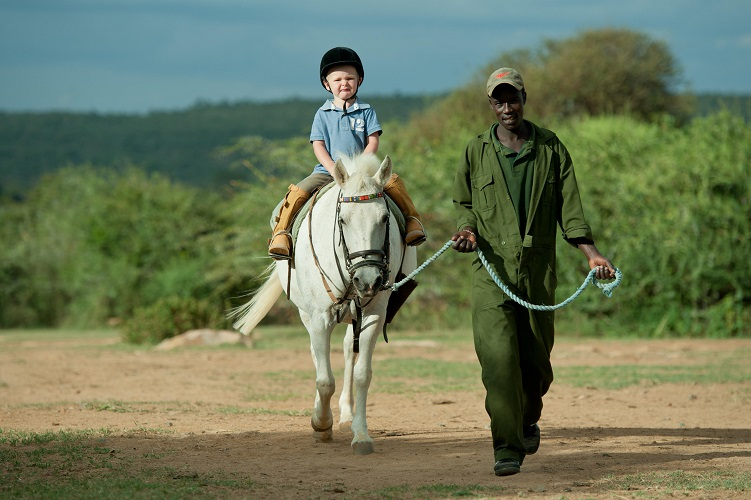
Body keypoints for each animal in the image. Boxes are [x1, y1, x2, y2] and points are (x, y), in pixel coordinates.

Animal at [232, 154, 418, 456]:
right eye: (342, 219)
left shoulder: (374, 315)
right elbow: (324, 380)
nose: (368, 280)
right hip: (307, 314)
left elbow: (362, 374)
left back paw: (346, 415)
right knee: (317, 356)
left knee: (347, 351)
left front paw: (361, 435)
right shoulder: (319, 317)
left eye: (384, 217)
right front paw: (320, 424)